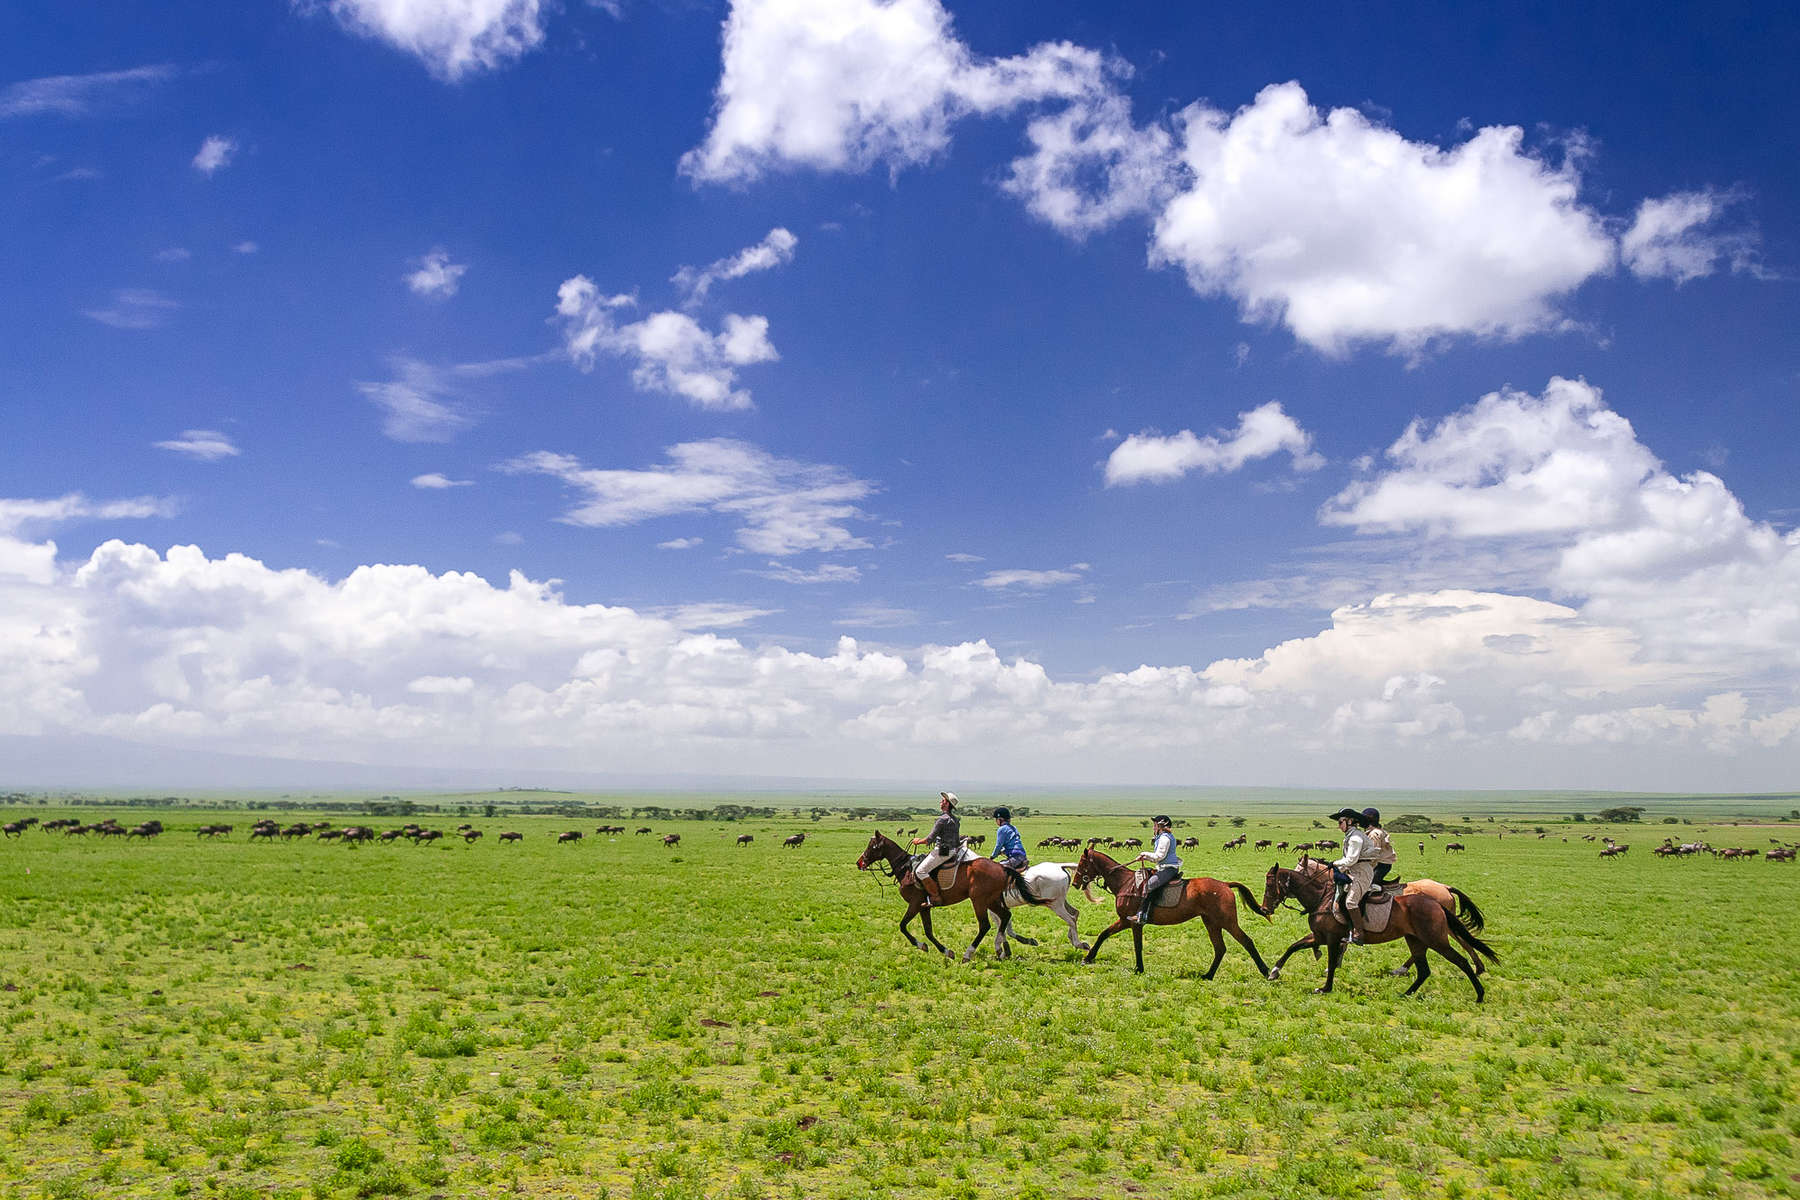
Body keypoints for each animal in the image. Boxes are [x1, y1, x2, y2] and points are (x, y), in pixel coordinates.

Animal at [1072, 849, 1274, 978]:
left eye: (1082, 863)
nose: (1074, 883)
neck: (1125, 883)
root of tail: (1225, 884)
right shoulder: (1124, 921)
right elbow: (1103, 934)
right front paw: (1088, 958)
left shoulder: (1134, 922)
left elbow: (1137, 945)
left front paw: (1139, 969)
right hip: (1211, 923)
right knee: (1220, 948)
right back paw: (1208, 975)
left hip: (1227, 922)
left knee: (1246, 942)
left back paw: (1266, 972)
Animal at [1252, 859, 1490, 1000]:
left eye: (1269, 885)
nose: (1264, 908)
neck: (1323, 897)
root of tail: (1439, 895)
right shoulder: (1319, 936)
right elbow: (1293, 947)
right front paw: (1274, 971)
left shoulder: (1332, 938)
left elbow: (1331, 959)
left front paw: (1325, 987)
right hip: (1416, 939)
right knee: (1424, 969)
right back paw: (1405, 990)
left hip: (1436, 938)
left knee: (1460, 958)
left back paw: (1479, 992)